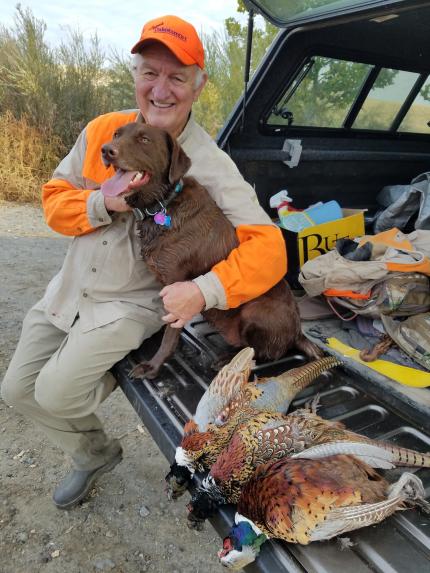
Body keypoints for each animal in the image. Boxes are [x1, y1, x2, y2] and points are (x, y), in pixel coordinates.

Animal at [101, 123, 322, 378]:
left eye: (144, 139)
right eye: (117, 134)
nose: (106, 150)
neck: (164, 204)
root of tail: (298, 331)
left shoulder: (177, 291)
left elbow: (170, 336)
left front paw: (153, 366)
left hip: (255, 311)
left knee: (264, 352)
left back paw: (228, 358)